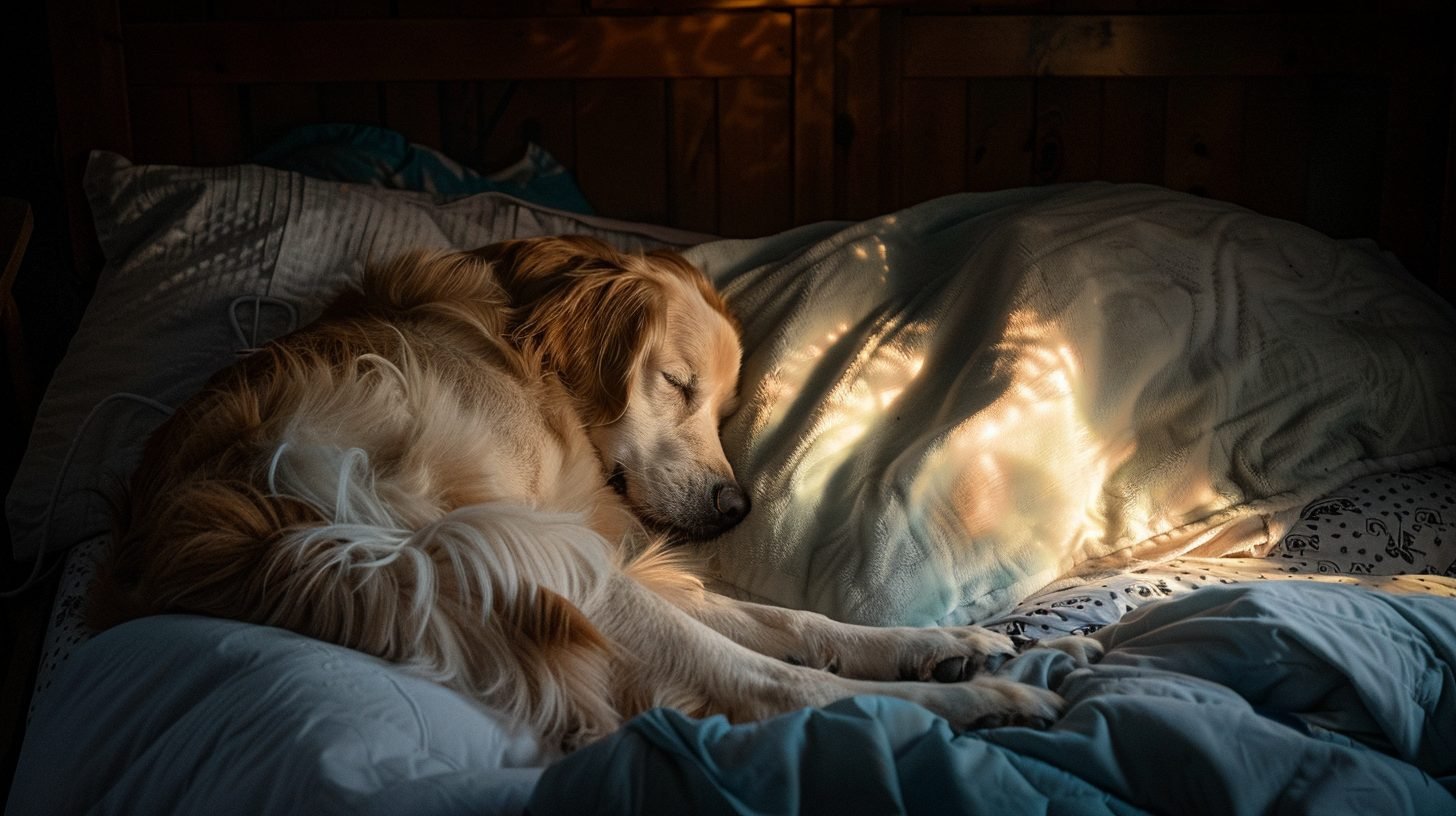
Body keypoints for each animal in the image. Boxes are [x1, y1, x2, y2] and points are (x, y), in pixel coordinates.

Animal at [91, 234, 1094, 746]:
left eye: (726, 405)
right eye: (678, 385)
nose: (737, 508)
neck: (513, 333)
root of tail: (264, 524)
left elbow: (797, 620)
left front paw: (932, 640)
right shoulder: (564, 546)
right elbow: (774, 654)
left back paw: (954, 662)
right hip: (533, 561)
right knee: (773, 691)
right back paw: (982, 705)